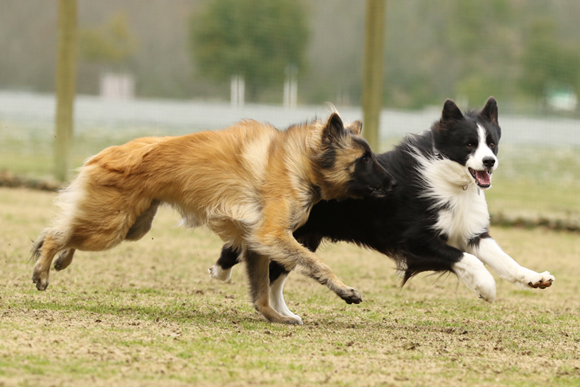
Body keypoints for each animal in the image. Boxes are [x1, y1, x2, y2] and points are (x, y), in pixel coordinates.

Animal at [30, 113, 394, 324]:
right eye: (364, 159)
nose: (393, 183)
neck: (302, 163)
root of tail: (110, 151)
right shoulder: (272, 236)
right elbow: (317, 264)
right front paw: (345, 290)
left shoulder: (257, 242)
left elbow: (260, 293)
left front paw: (274, 316)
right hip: (113, 227)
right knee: (58, 234)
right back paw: (43, 270)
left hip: (133, 225)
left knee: (66, 229)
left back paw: (60, 258)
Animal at [207, 98, 552, 322]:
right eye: (469, 144)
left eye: (491, 143)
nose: (489, 162)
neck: (450, 181)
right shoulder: (414, 241)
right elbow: (466, 260)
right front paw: (486, 288)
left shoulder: (472, 233)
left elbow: (504, 260)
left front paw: (535, 278)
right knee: (247, 251)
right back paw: (222, 273)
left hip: (302, 237)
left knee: (278, 272)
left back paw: (283, 313)